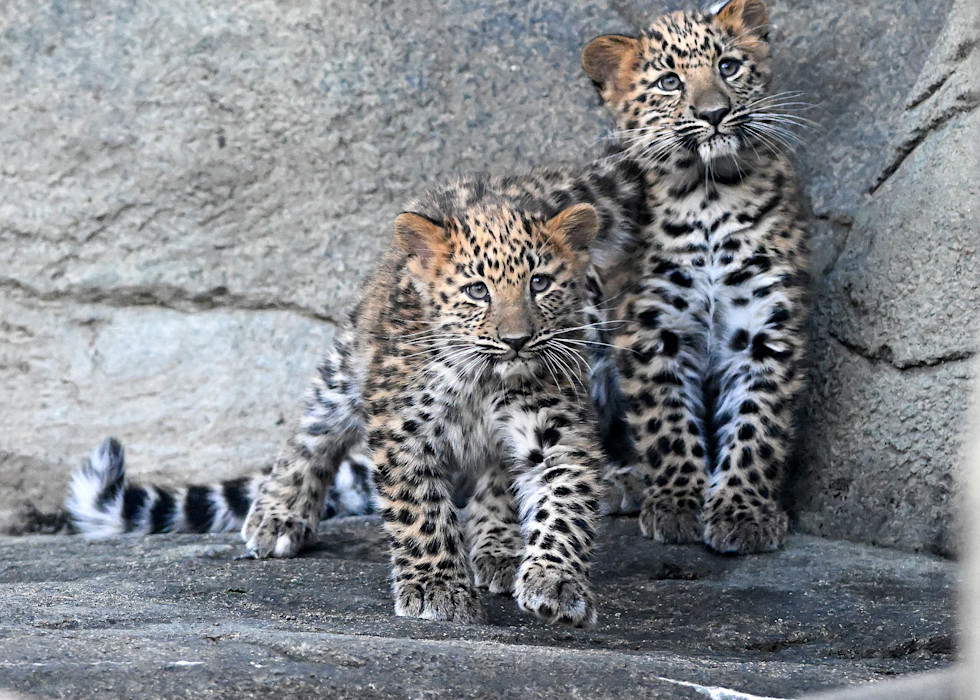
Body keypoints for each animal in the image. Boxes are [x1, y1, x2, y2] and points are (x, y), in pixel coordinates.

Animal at [67, 165, 651, 626]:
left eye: (540, 284)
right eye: (476, 291)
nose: (517, 339)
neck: (483, 380)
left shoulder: (556, 427)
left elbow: (564, 503)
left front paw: (556, 583)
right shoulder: (402, 424)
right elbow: (421, 512)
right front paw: (437, 589)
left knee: (495, 481)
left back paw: (501, 549)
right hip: (346, 366)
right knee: (312, 432)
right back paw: (278, 515)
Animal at [581, 0, 811, 554]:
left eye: (728, 66)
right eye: (669, 82)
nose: (714, 112)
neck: (709, 193)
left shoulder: (765, 325)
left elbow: (757, 422)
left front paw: (744, 512)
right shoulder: (652, 326)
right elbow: (665, 419)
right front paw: (676, 503)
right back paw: (620, 481)